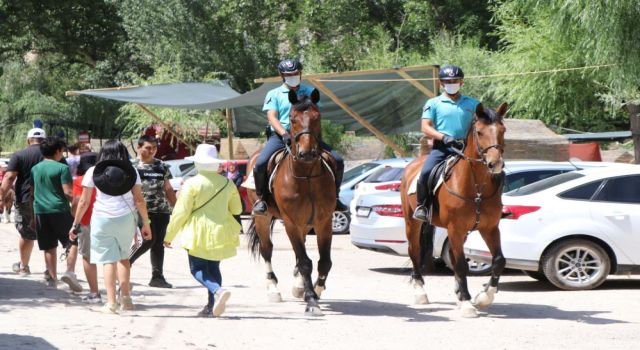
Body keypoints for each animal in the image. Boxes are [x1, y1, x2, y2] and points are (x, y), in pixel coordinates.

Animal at [246, 89, 336, 316]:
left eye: (317, 117)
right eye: (293, 119)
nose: (307, 153)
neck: (307, 176)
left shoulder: (324, 222)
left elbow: (324, 261)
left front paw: (316, 291)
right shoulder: (291, 223)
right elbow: (304, 262)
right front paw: (312, 300)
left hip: (306, 223)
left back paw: (298, 286)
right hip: (263, 218)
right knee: (267, 249)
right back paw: (273, 289)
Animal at [402, 103, 508, 318]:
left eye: (503, 130)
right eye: (479, 132)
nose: (495, 164)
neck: (476, 187)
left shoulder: (490, 229)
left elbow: (499, 260)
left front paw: (484, 297)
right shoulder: (455, 229)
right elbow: (461, 264)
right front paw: (467, 303)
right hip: (412, 222)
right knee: (414, 251)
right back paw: (420, 293)